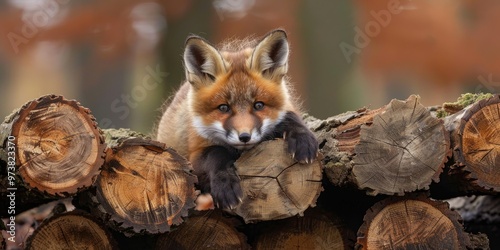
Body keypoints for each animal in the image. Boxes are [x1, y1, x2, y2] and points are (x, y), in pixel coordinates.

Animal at [158, 28, 318, 209]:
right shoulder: (194, 157)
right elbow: (216, 152)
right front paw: (225, 185)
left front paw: (303, 139)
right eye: (223, 108)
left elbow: (290, 116)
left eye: (258, 105)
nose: (244, 137)